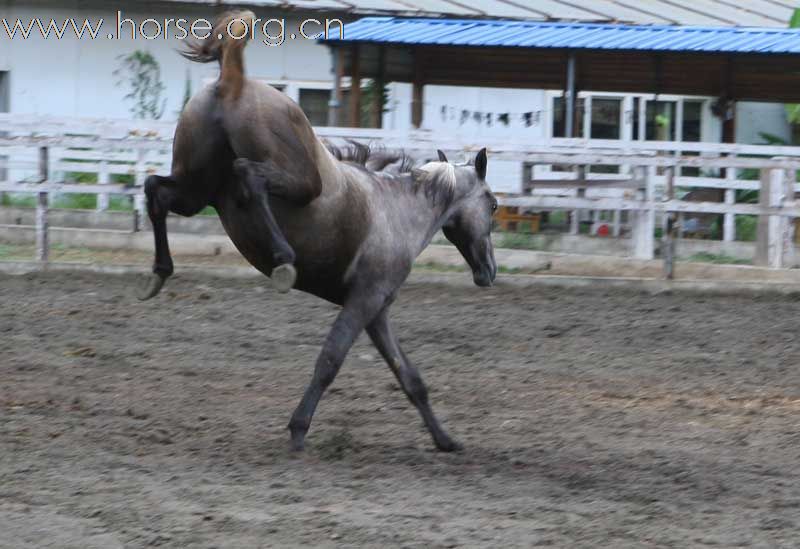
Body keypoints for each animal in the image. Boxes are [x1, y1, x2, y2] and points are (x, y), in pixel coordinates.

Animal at [141, 10, 496, 452]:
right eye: (493, 205)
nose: (489, 271)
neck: (397, 209)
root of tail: (235, 79)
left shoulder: (377, 311)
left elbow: (410, 378)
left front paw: (446, 440)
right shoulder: (363, 301)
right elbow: (330, 360)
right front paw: (297, 430)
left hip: (195, 190)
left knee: (155, 191)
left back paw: (159, 273)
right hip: (292, 181)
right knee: (249, 177)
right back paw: (282, 260)